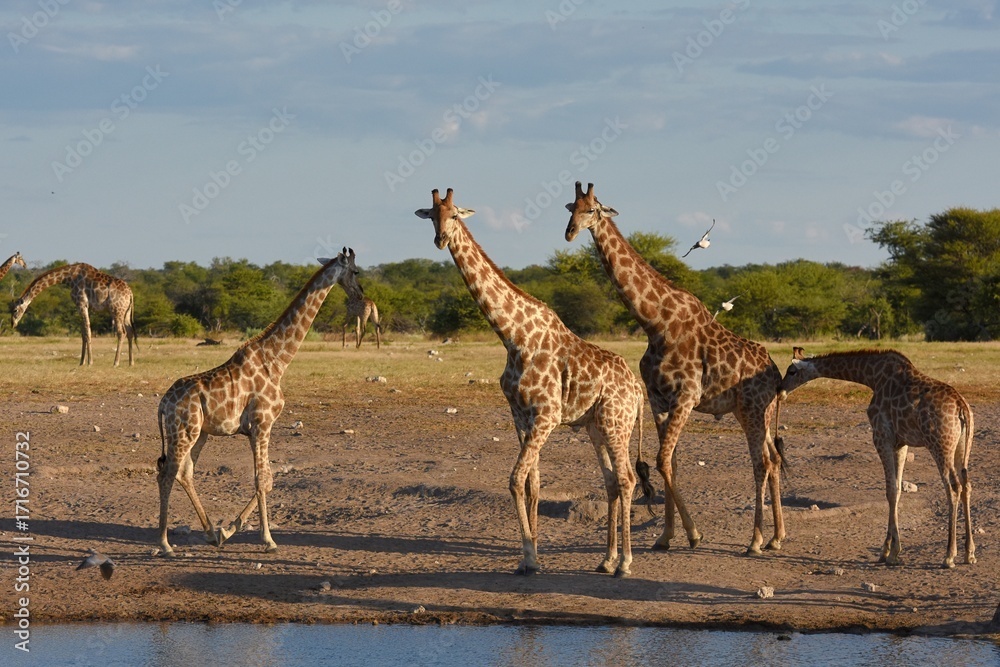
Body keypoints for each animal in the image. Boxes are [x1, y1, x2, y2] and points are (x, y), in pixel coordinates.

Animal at [155, 249, 361, 556]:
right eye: (357, 272)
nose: (360, 293)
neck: (277, 361)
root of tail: (162, 404)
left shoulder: (256, 428)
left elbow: (269, 478)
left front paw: (228, 530)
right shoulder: (263, 422)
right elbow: (262, 479)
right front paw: (268, 540)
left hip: (199, 433)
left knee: (184, 472)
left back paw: (210, 534)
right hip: (183, 431)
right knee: (167, 474)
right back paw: (165, 543)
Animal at [415, 188, 653, 577]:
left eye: (455, 215)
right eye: (433, 216)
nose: (440, 240)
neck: (513, 336)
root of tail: (636, 389)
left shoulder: (547, 415)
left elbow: (514, 480)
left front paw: (529, 558)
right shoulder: (521, 416)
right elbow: (533, 484)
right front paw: (534, 554)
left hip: (617, 422)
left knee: (627, 479)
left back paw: (625, 563)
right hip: (596, 426)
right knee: (611, 482)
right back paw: (606, 559)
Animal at [565, 182, 786, 556]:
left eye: (592, 209)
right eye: (570, 208)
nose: (569, 233)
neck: (656, 323)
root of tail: (774, 371)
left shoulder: (686, 396)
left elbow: (662, 460)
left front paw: (693, 534)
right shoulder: (658, 399)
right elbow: (672, 463)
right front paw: (665, 536)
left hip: (754, 409)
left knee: (762, 462)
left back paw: (756, 540)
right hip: (753, 411)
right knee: (773, 460)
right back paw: (776, 536)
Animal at [781, 347, 975, 568]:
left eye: (791, 371)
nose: (780, 389)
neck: (871, 376)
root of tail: (962, 408)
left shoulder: (881, 437)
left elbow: (890, 491)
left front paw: (889, 552)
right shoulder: (901, 443)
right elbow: (897, 490)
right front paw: (889, 551)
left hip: (940, 445)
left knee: (953, 487)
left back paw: (949, 555)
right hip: (962, 447)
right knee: (966, 485)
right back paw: (969, 553)